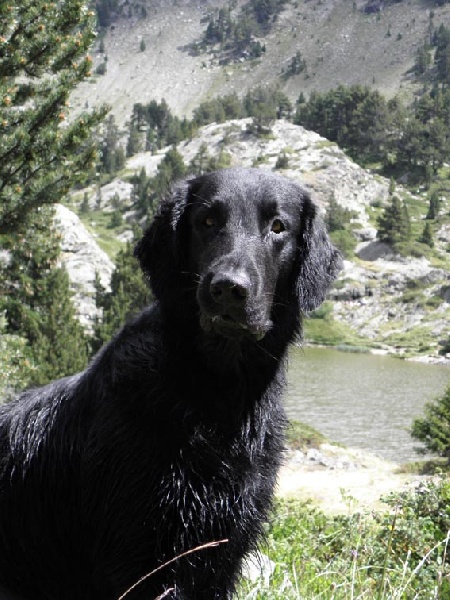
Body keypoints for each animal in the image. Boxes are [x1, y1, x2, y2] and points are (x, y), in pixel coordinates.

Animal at [0, 167, 341, 599]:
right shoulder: (139, 559)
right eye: (207, 221)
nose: (228, 289)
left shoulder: (223, 553)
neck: (215, 395)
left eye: (278, 227)